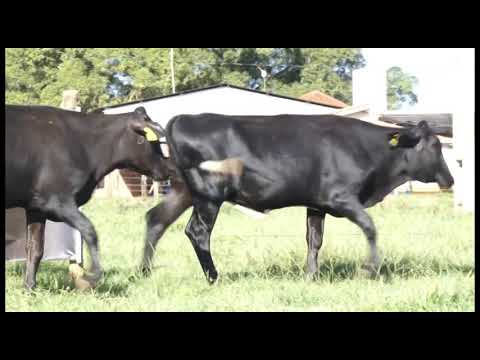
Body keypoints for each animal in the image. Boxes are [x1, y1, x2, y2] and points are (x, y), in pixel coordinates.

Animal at [6, 105, 174, 290]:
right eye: (153, 142)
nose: (167, 168)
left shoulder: (36, 207)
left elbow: (35, 248)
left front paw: (29, 287)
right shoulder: (58, 200)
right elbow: (89, 231)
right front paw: (94, 275)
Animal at [142, 114, 454, 282]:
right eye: (435, 146)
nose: (450, 180)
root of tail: (182, 118)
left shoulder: (316, 204)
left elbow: (314, 240)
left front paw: (310, 276)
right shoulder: (341, 198)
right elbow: (370, 227)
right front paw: (370, 269)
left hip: (184, 192)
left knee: (156, 220)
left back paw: (144, 271)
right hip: (209, 195)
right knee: (198, 232)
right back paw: (213, 277)